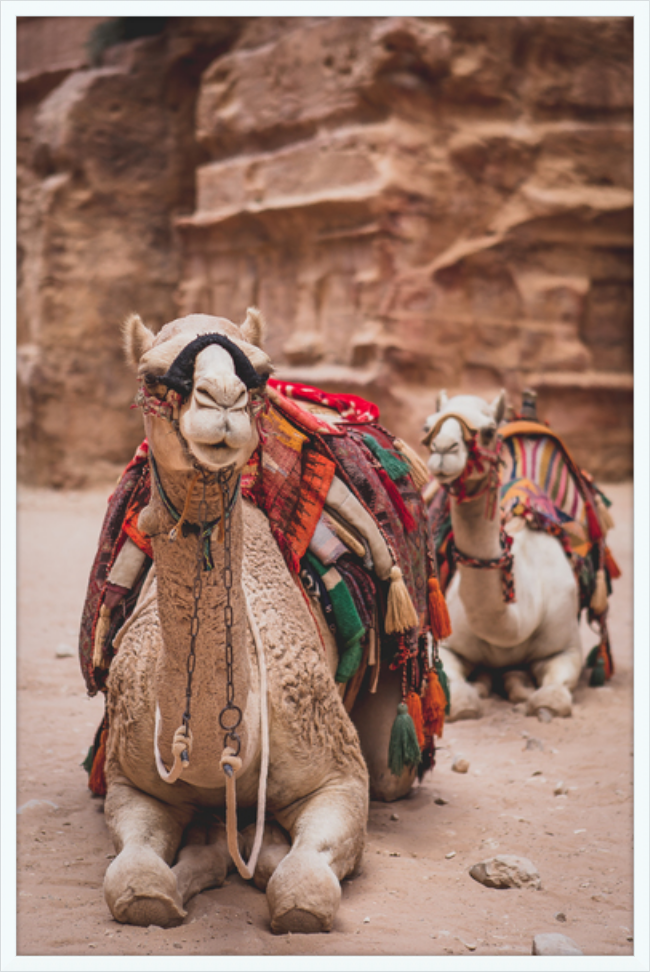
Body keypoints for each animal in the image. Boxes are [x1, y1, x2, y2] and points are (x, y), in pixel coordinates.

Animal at [96, 312, 422, 936]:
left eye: (261, 374)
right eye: (152, 376)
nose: (221, 399)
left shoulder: (341, 774)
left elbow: (301, 889)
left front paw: (255, 845)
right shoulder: (128, 780)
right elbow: (134, 884)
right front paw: (185, 871)